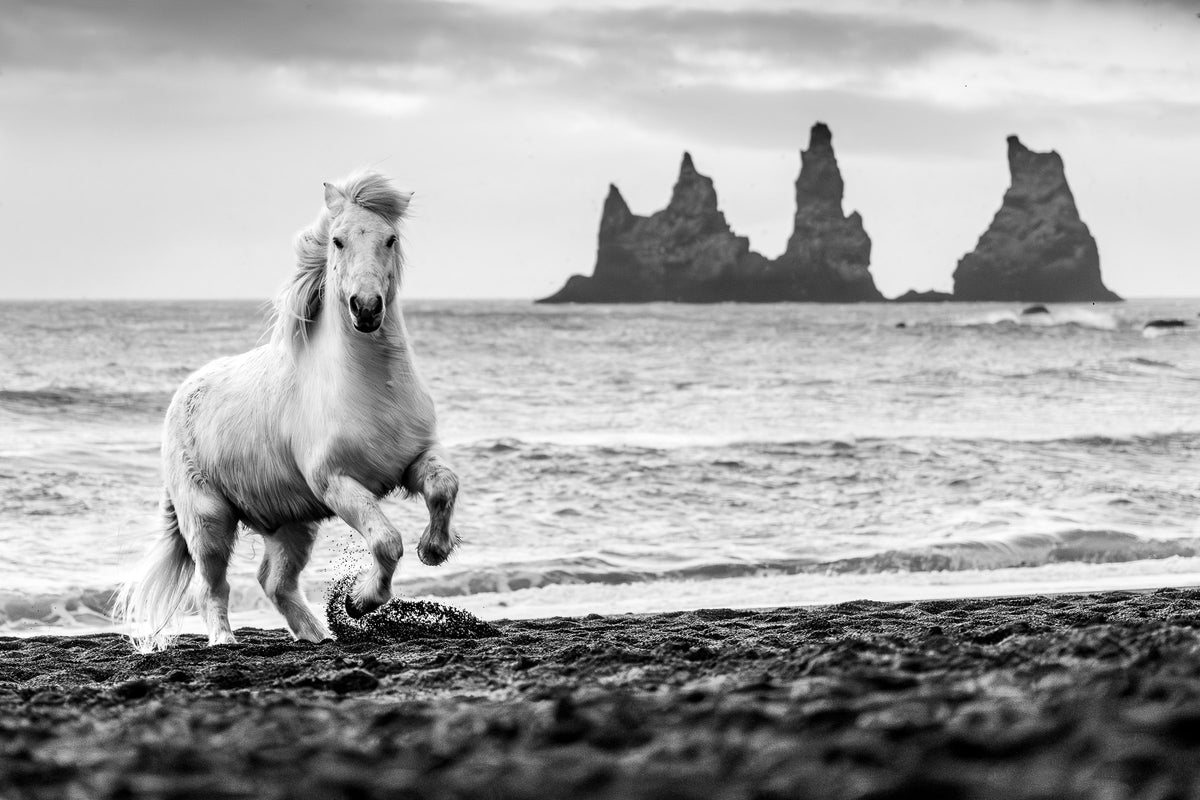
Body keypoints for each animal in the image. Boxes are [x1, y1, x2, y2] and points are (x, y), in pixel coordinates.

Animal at [115, 171, 459, 652]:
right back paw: (225, 640)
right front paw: (359, 601)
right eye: (337, 241)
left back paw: (316, 636)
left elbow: (445, 486)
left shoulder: (415, 458)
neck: (370, 387)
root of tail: (182, 394)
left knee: (274, 582)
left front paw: (434, 549)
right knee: (211, 587)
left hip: (291, 524)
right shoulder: (337, 483)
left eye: (390, 238)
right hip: (209, 520)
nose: (366, 308)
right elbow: (387, 542)